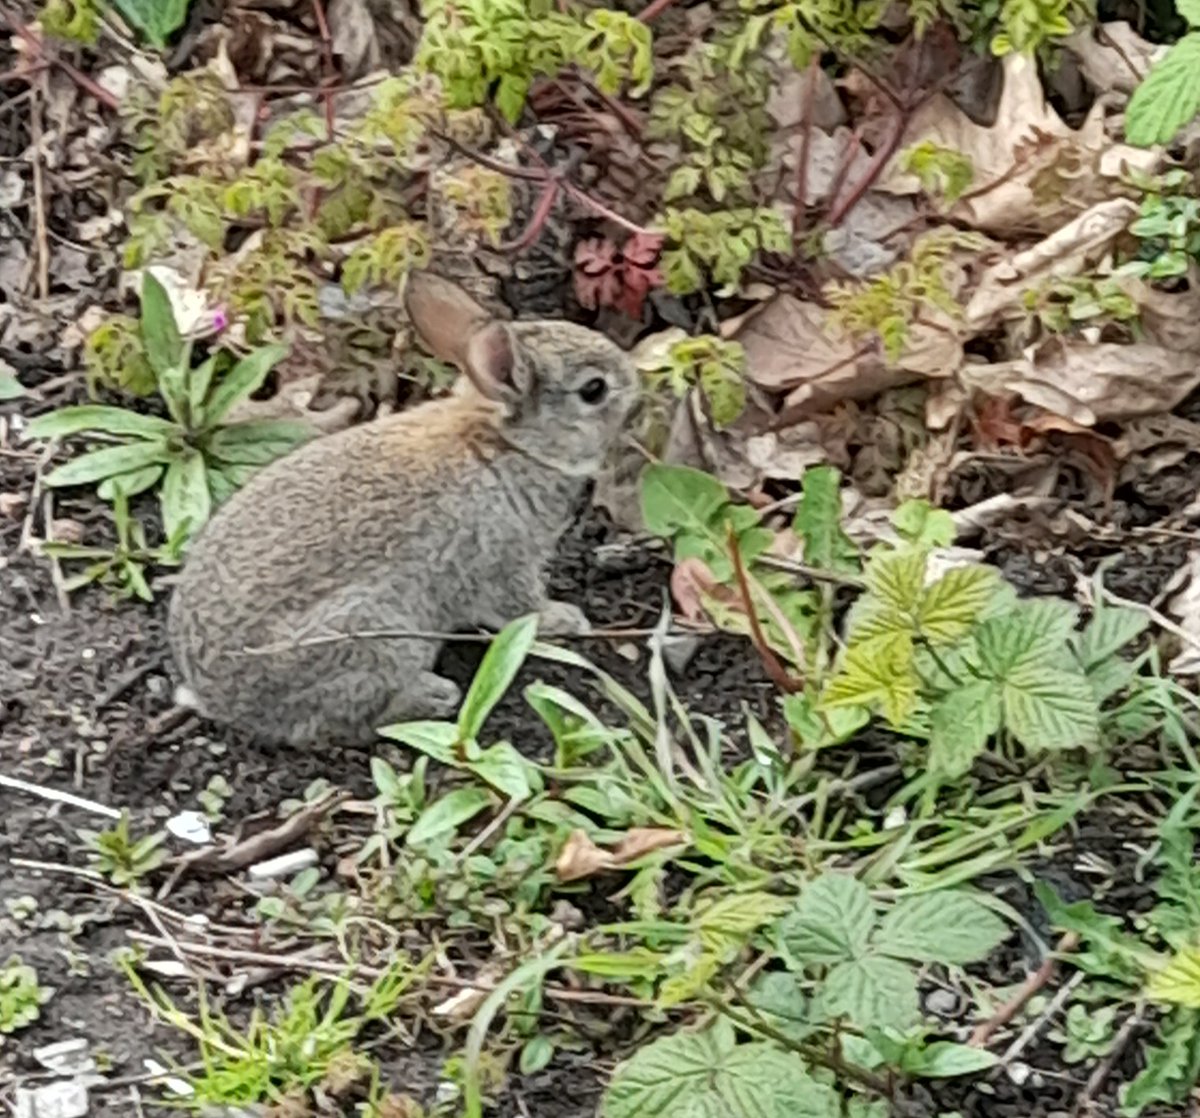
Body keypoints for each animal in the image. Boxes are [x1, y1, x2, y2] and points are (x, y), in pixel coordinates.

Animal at [167, 274, 638, 748]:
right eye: (594, 389)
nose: (635, 384)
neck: (504, 442)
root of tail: (223, 703)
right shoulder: (503, 561)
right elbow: (521, 608)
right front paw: (566, 618)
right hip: (376, 637)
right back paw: (435, 695)